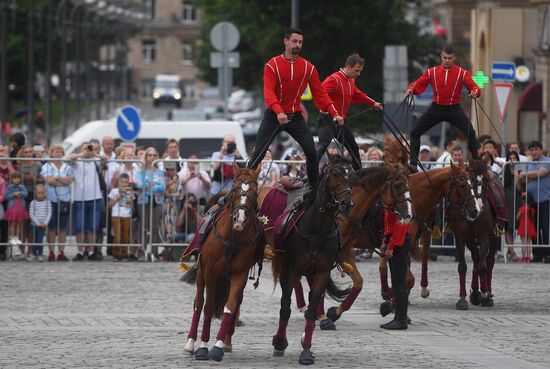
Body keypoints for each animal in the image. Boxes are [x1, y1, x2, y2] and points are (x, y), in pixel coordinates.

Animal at [182, 162, 264, 360]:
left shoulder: (239, 274)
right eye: (235, 189)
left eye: (255, 190)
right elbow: (208, 307)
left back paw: (226, 341)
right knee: (198, 303)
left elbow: (230, 306)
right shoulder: (210, 272)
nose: (240, 219)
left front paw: (219, 345)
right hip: (201, 273)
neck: (233, 236)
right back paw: (190, 344)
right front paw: (203, 347)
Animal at [272, 153, 358, 366]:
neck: (317, 230)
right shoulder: (291, 270)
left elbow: (312, 310)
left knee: (312, 298)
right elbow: (285, 307)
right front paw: (279, 342)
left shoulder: (321, 271)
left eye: (352, 176)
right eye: (335, 174)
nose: (347, 203)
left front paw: (306, 351)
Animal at [452, 155, 500, 308]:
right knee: (476, 259)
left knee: (488, 262)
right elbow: (463, 266)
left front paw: (485, 295)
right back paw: (474, 293)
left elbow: (483, 267)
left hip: (495, 237)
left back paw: (487, 293)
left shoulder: (485, 236)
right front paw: (463, 299)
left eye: (485, 180)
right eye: (471, 179)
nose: (477, 209)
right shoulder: (462, 237)